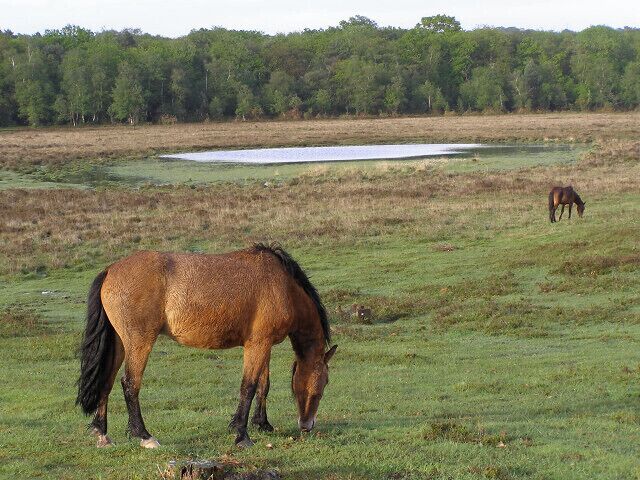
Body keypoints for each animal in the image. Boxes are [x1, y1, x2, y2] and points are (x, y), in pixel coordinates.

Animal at [76, 244, 337, 449]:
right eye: (322, 387)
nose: (306, 425)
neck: (283, 285)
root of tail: (110, 270)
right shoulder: (258, 344)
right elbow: (249, 387)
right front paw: (241, 435)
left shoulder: (264, 345)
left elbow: (263, 385)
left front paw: (262, 424)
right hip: (140, 341)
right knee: (130, 383)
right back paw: (145, 436)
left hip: (120, 343)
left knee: (107, 381)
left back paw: (102, 433)